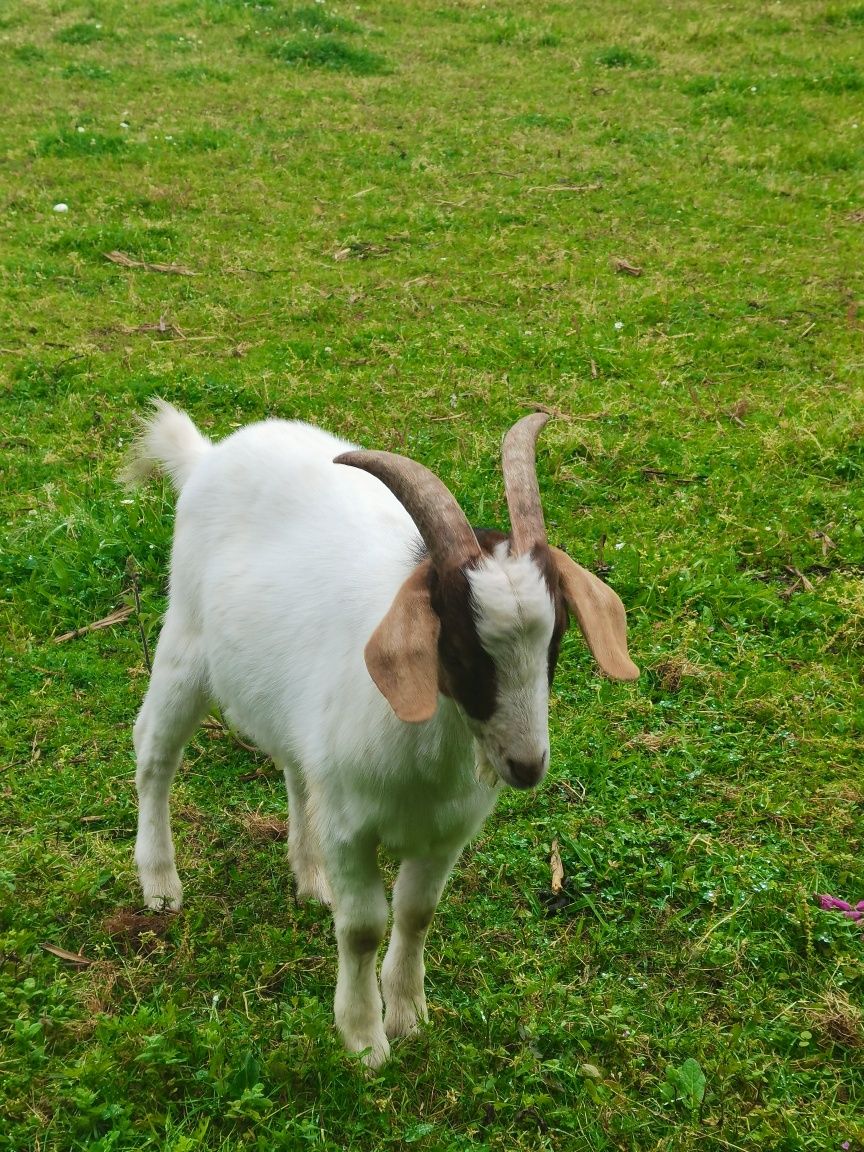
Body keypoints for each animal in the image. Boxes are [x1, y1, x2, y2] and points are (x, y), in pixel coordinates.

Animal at [130, 405, 645, 1069]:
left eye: (555, 640)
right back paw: (161, 885)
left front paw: (408, 1016)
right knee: (155, 753)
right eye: (459, 650)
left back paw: (311, 877)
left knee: (296, 770)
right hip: (185, 645)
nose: (526, 765)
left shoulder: (446, 833)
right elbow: (363, 927)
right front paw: (364, 1040)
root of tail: (208, 456)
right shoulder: (353, 829)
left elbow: (416, 913)